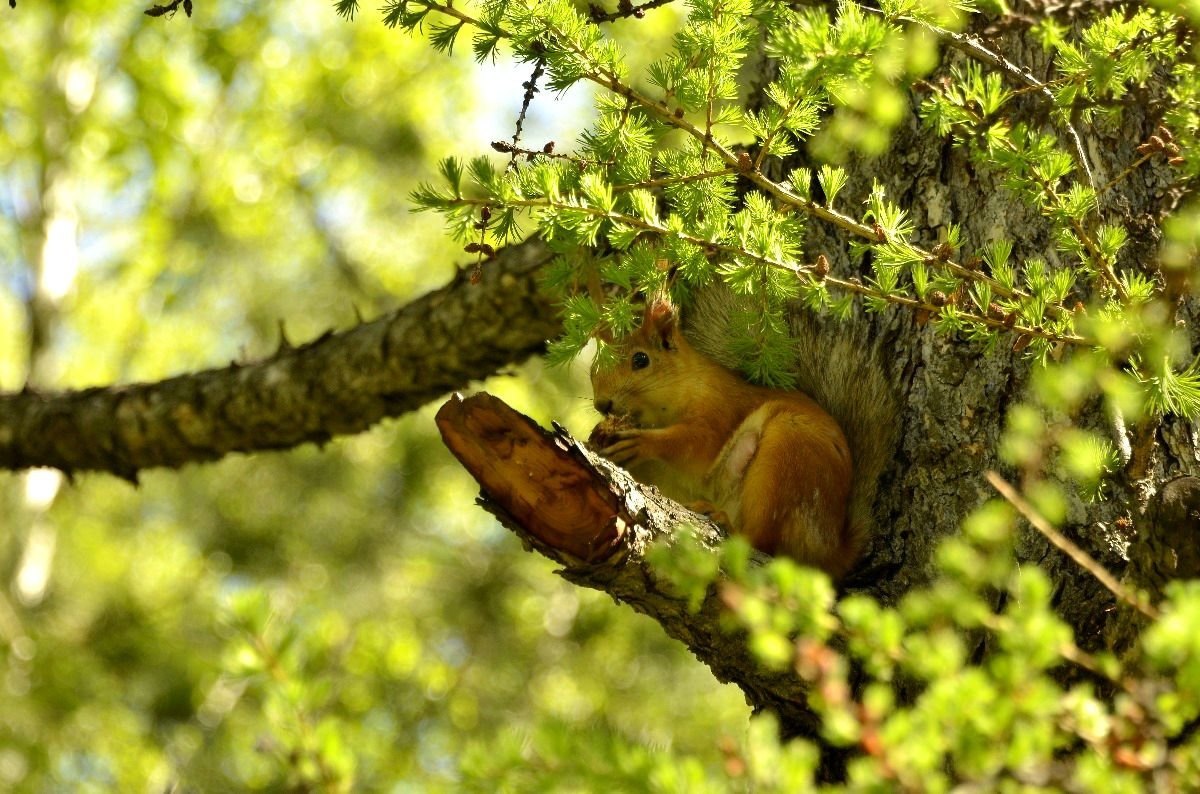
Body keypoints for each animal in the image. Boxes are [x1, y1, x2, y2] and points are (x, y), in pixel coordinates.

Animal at [585, 289, 897, 582]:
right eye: (592, 370)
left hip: (785, 458)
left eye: (641, 359)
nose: (602, 404)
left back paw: (723, 520)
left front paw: (641, 442)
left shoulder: (719, 412)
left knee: (762, 541)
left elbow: (692, 444)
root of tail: (829, 548)